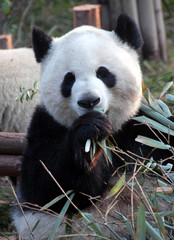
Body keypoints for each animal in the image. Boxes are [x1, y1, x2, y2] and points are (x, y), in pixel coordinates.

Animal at [12, 14, 174, 239]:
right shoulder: (45, 126)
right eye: (69, 79)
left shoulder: (144, 124)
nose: (89, 101)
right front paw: (87, 137)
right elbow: (49, 190)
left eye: (103, 73)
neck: (111, 132)